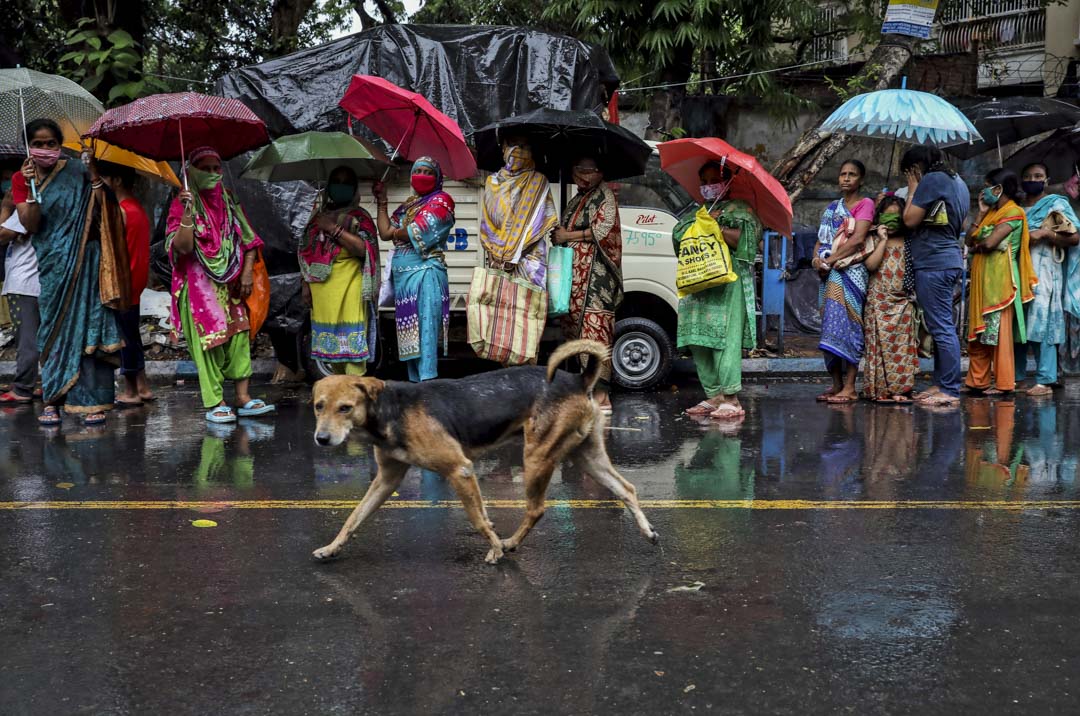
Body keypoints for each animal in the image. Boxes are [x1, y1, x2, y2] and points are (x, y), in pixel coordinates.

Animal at [311, 341, 656, 565]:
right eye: (318, 406)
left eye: (345, 408)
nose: (321, 439)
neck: (390, 410)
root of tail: (578, 378)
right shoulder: (386, 479)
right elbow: (354, 518)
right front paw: (331, 548)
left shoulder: (460, 469)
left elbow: (478, 519)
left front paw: (495, 549)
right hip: (587, 455)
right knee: (626, 488)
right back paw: (648, 531)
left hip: (537, 456)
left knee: (536, 509)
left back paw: (511, 543)